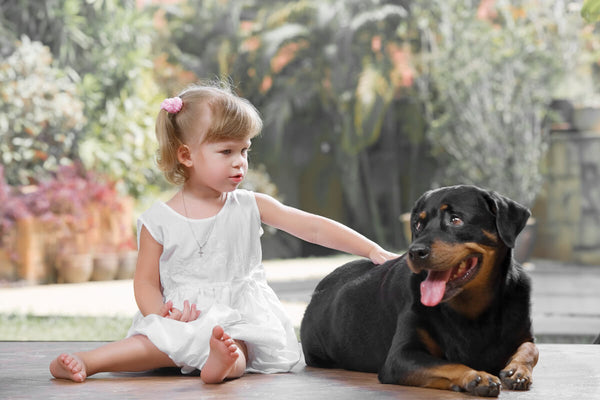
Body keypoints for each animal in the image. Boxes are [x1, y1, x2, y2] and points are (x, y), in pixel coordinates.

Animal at [300, 185, 540, 396]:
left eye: (456, 220)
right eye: (417, 225)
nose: (415, 252)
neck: (472, 309)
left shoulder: (522, 333)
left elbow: (531, 349)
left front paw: (518, 370)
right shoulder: (401, 357)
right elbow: (447, 364)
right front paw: (477, 377)